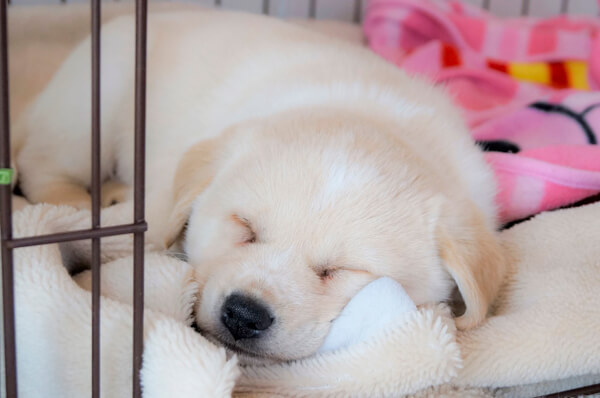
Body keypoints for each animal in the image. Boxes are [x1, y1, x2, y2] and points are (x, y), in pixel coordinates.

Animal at [15, 9, 506, 364]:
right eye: (245, 227)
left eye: (336, 271)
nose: (243, 315)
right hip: (91, 106)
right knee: (39, 164)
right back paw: (77, 198)